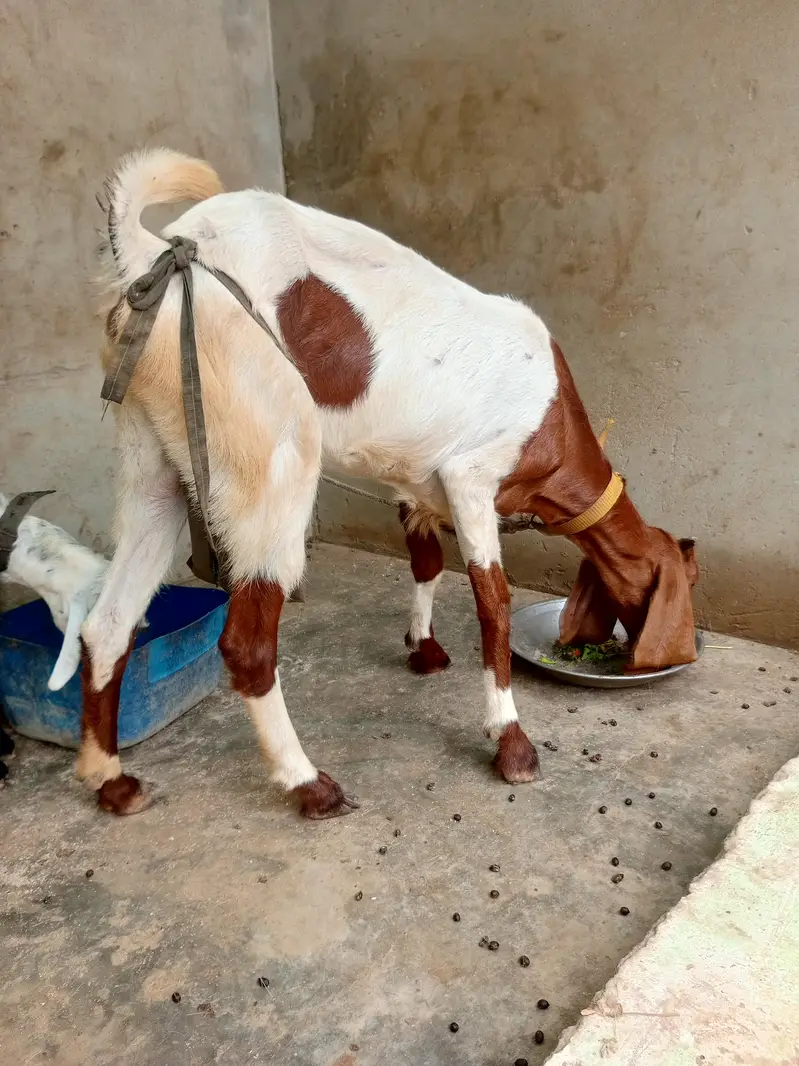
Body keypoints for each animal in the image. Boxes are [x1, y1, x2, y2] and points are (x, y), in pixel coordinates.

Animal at [81, 148, 699, 819]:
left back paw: (111, 780)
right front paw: (510, 742)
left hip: (154, 457)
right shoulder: (471, 478)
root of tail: (155, 251)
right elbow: (494, 604)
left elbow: (426, 563)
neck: (552, 420)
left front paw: (422, 648)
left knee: (109, 621)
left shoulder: (413, 481)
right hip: (270, 457)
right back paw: (308, 783)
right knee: (246, 644)